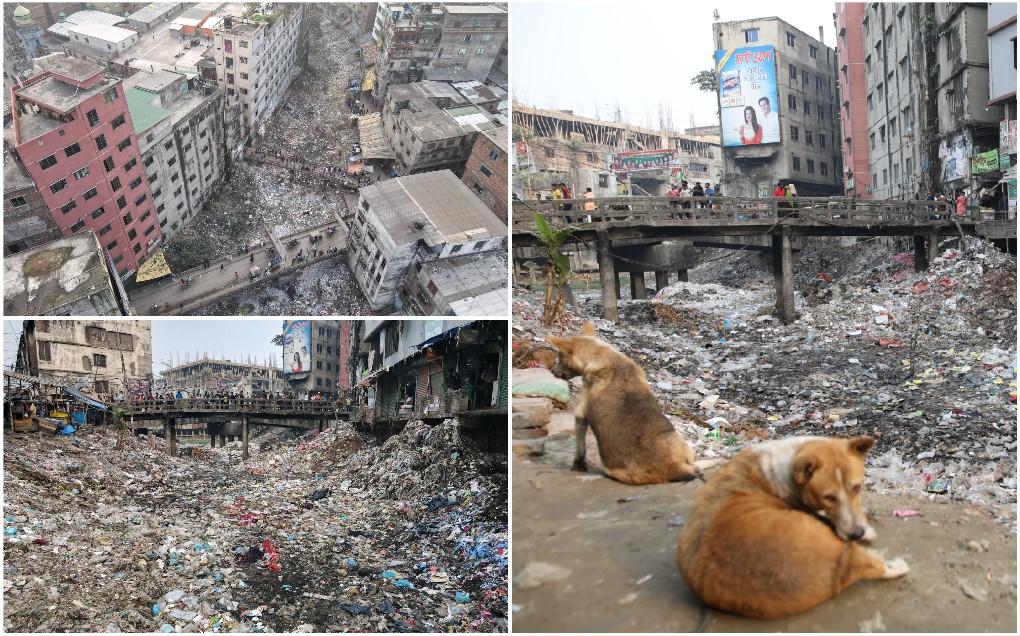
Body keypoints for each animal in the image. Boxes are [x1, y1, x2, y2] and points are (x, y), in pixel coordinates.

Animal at [550, 320, 701, 485]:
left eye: (559, 357)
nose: (552, 371)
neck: (602, 355)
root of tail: (676, 468)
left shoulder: (580, 414)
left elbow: (579, 450)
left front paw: (578, 466)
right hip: (684, 443)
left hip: (611, 469)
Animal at [677, 434, 909, 619]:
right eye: (828, 497)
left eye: (857, 487)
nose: (856, 534)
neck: (789, 467)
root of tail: (836, 572)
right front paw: (867, 531)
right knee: (875, 565)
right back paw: (896, 565)